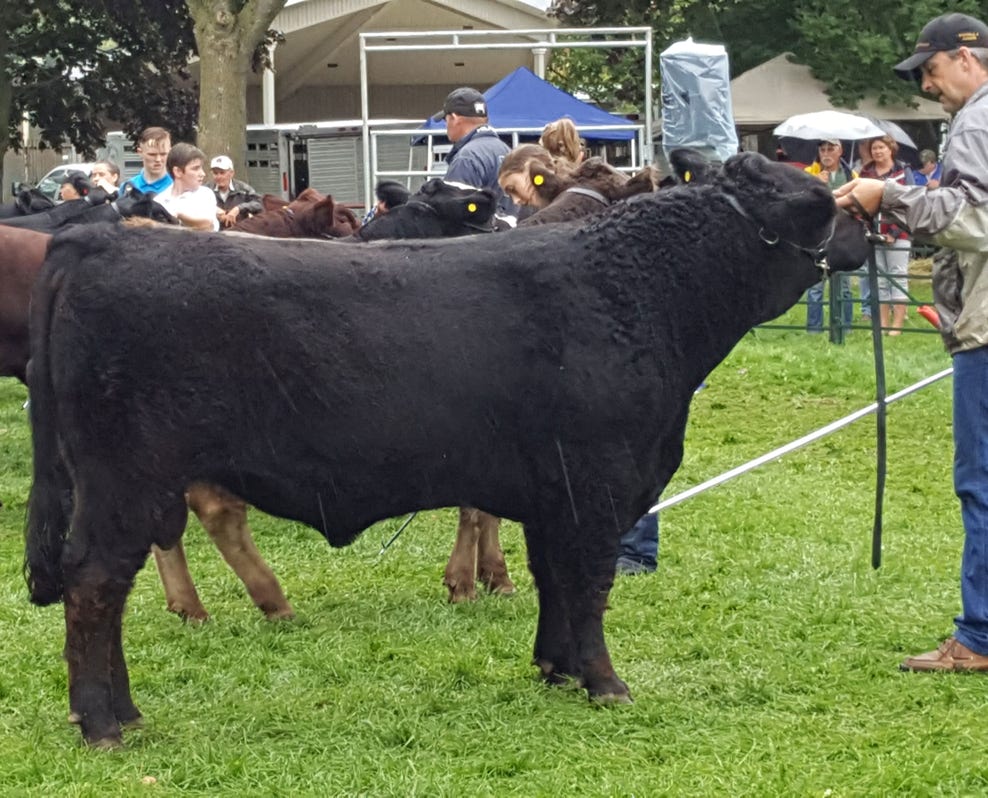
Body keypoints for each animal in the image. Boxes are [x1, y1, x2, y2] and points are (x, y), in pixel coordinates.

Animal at [25, 152, 871, 748]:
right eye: (816, 200)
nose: (869, 220)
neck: (639, 292)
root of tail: (100, 241)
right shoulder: (600, 481)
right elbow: (590, 583)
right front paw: (605, 683)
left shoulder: (554, 492)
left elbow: (555, 581)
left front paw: (556, 669)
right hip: (125, 480)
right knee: (94, 584)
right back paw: (104, 723)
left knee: (109, 585)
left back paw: (121, 712)